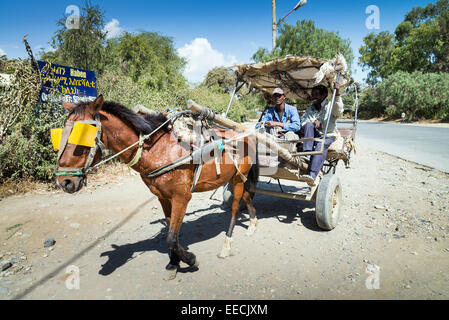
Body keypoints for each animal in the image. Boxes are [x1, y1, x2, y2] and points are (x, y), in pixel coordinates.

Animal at [55, 95, 260, 280]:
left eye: (82, 135)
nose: (64, 182)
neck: (158, 150)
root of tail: (247, 135)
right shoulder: (163, 197)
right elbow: (171, 232)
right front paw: (174, 263)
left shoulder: (181, 197)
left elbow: (171, 238)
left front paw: (190, 259)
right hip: (236, 178)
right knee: (246, 196)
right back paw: (252, 222)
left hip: (237, 178)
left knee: (235, 208)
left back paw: (227, 243)